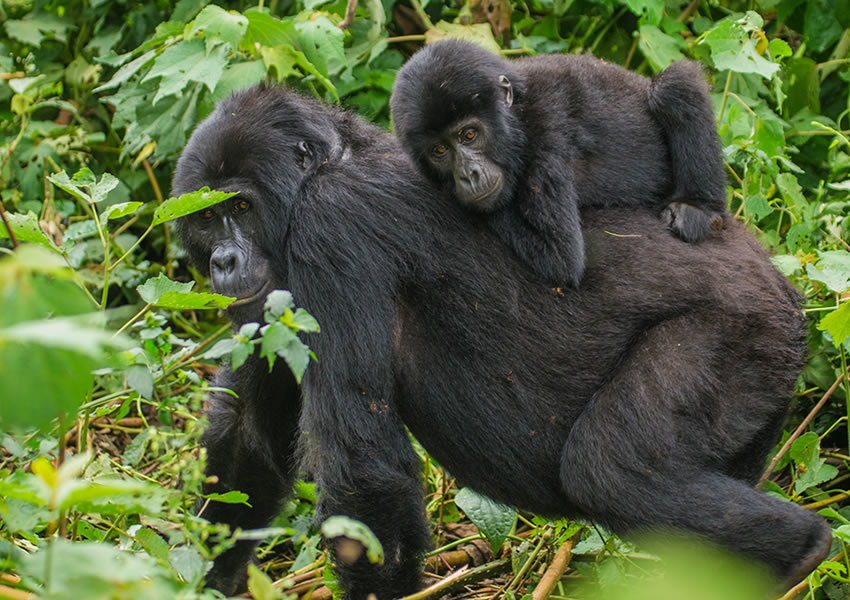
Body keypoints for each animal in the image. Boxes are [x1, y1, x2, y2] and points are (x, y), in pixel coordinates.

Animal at [171, 85, 828, 600]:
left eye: (239, 206)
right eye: (205, 218)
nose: (224, 262)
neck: (329, 162)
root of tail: (781, 280)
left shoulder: (330, 227)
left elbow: (364, 474)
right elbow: (247, 443)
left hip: (745, 326)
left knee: (613, 470)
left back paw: (802, 551)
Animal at [390, 40, 728, 288]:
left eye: (469, 134)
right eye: (440, 150)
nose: (468, 175)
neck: (517, 115)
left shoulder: (545, 137)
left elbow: (560, 257)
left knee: (675, 85)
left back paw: (698, 207)